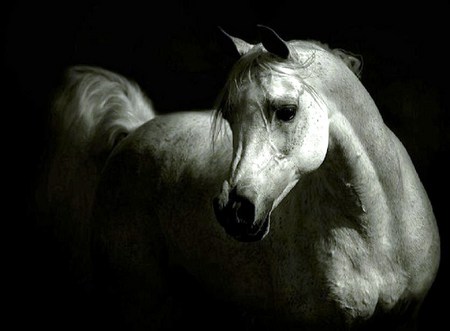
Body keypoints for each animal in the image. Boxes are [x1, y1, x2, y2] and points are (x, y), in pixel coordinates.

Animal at [42, 25, 440, 330]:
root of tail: (134, 132)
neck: (377, 232)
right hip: (144, 300)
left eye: (287, 111)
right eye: (230, 116)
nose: (232, 210)